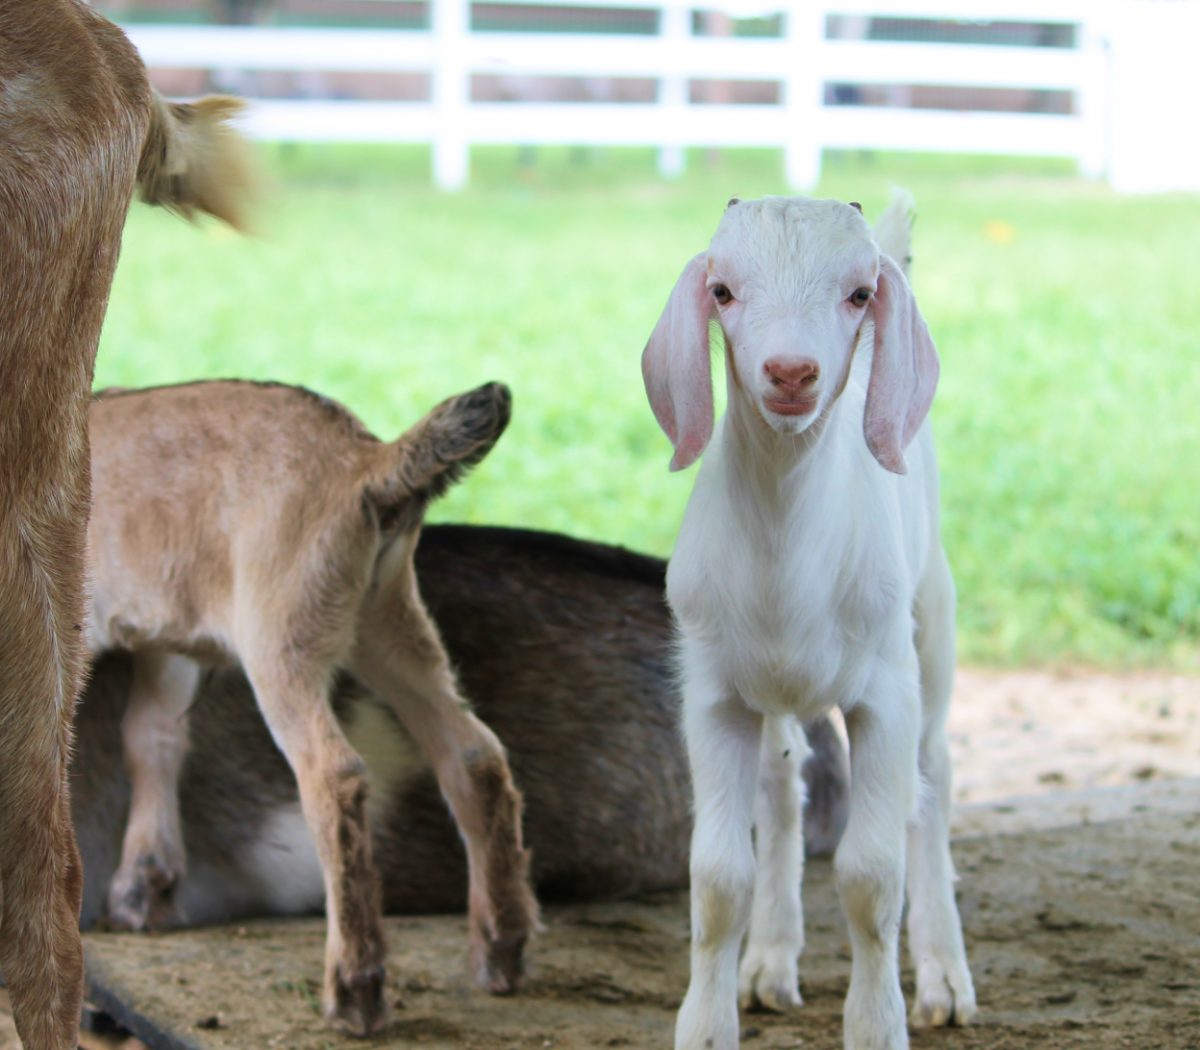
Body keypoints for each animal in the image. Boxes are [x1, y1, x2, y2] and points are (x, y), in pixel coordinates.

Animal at [84, 380, 535, 1035]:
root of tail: (368, 462)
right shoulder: (167, 634)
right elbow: (151, 736)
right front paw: (142, 888)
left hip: (282, 634)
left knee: (332, 774)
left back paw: (355, 987)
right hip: (389, 620)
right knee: (474, 753)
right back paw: (501, 949)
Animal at [642, 194, 975, 1050]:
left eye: (859, 294)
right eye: (723, 291)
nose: (791, 373)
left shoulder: (886, 693)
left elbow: (870, 875)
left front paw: (877, 1026)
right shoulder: (714, 697)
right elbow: (716, 879)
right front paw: (707, 1025)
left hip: (933, 625)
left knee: (934, 784)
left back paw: (946, 979)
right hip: (771, 694)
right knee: (781, 785)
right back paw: (768, 962)